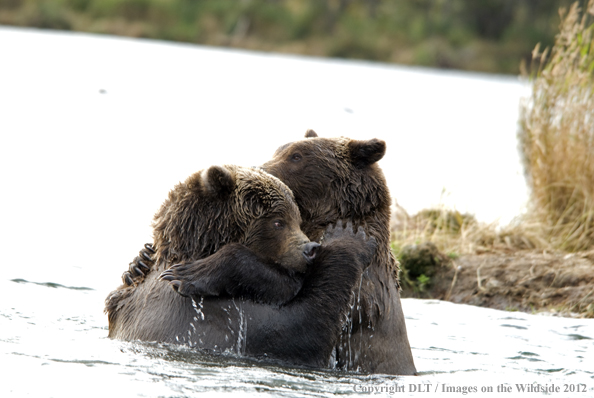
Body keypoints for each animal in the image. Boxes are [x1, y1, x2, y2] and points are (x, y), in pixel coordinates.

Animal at [104, 162, 374, 366]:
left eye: (297, 220)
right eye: (278, 222)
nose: (309, 249)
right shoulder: (216, 314)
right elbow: (301, 332)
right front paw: (347, 235)